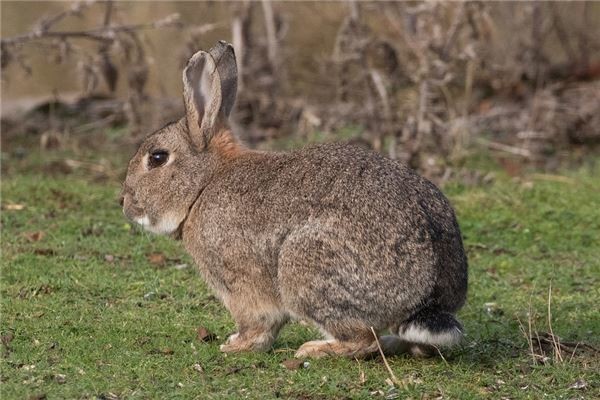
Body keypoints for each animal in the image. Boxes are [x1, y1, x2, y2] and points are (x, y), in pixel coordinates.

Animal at [120, 41, 468, 360]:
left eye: (157, 158)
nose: (125, 203)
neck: (204, 184)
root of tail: (428, 297)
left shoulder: (240, 282)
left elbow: (257, 323)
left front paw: (236, 345)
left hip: (304, 268)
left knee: (363, 340)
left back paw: (314, 349)